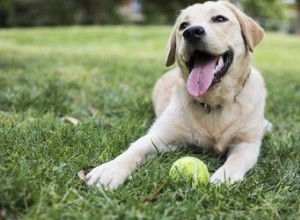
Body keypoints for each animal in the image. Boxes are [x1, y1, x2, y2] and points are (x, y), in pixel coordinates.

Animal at [84, 0, 270, 189]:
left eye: (219, 18)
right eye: (183, 26)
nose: (192, 32)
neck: (213, 102)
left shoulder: (247, 144)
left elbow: (237, 159)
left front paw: (225, 176)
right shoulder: (161, 135)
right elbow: (136, 148)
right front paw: (111, 169)